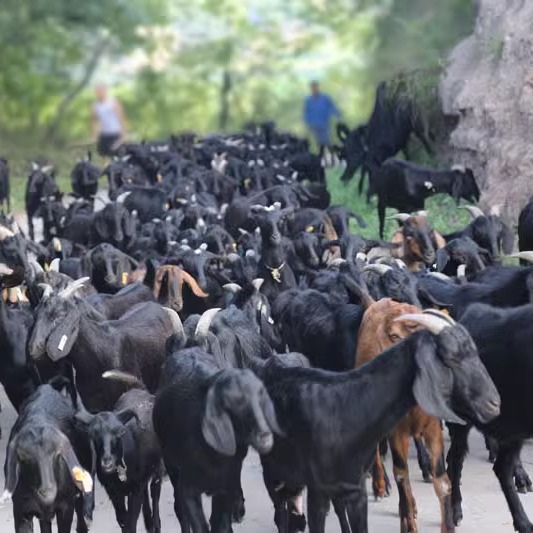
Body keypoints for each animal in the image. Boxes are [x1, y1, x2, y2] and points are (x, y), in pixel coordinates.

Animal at [356, 298, 450, 532]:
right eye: (394, 336)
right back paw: (380, 486)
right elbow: (401, 475)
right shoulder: (396, 431)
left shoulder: (434, 428)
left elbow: (441, 480)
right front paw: (408, 523)